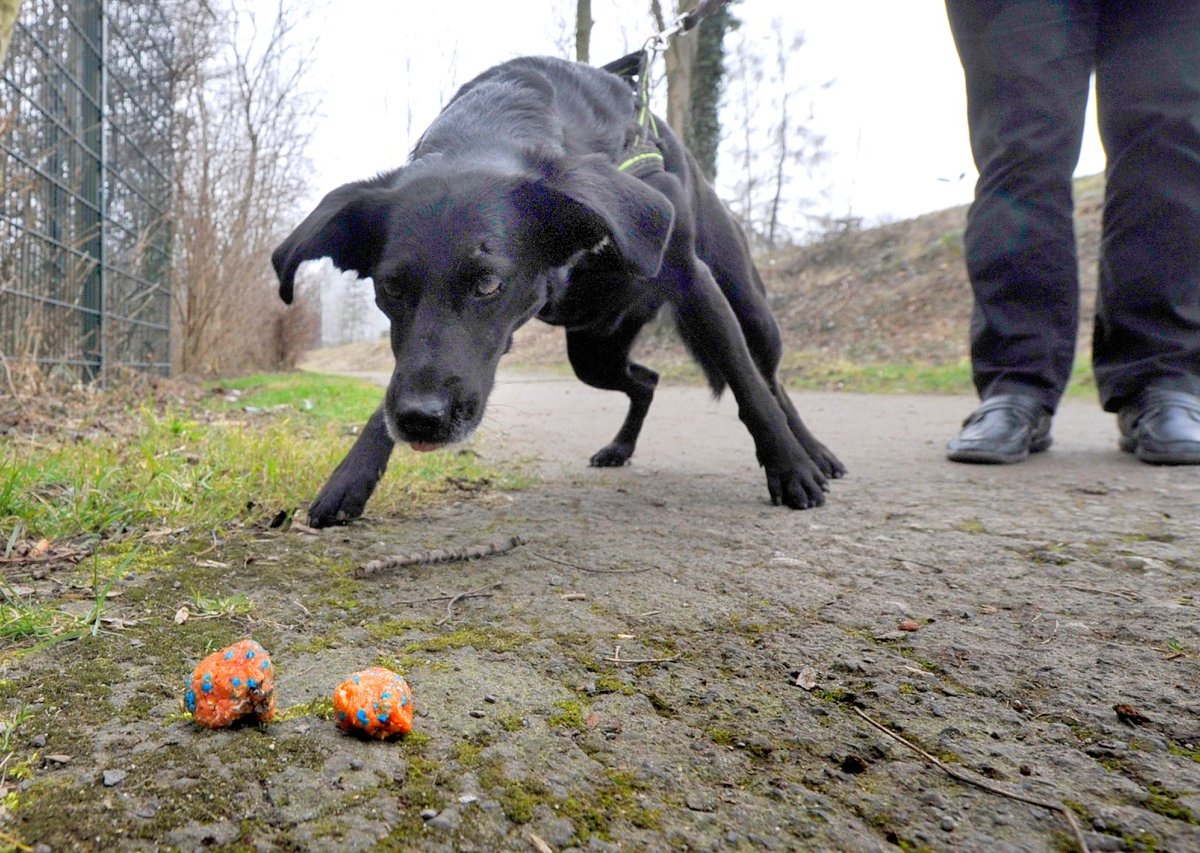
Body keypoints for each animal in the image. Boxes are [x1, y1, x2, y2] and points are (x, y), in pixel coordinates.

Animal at [277, 56, 849, 523]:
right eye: (390, 288)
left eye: (489, 283)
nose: (420, 420)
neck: (493, 121)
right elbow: (394, 387)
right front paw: (350, 478)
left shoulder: (693, 279)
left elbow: (748, 387)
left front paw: (790, 469)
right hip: (593, 354)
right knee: (646, 380)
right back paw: (620, 448)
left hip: (747, 309)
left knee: (768, 378)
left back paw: (814, 452)